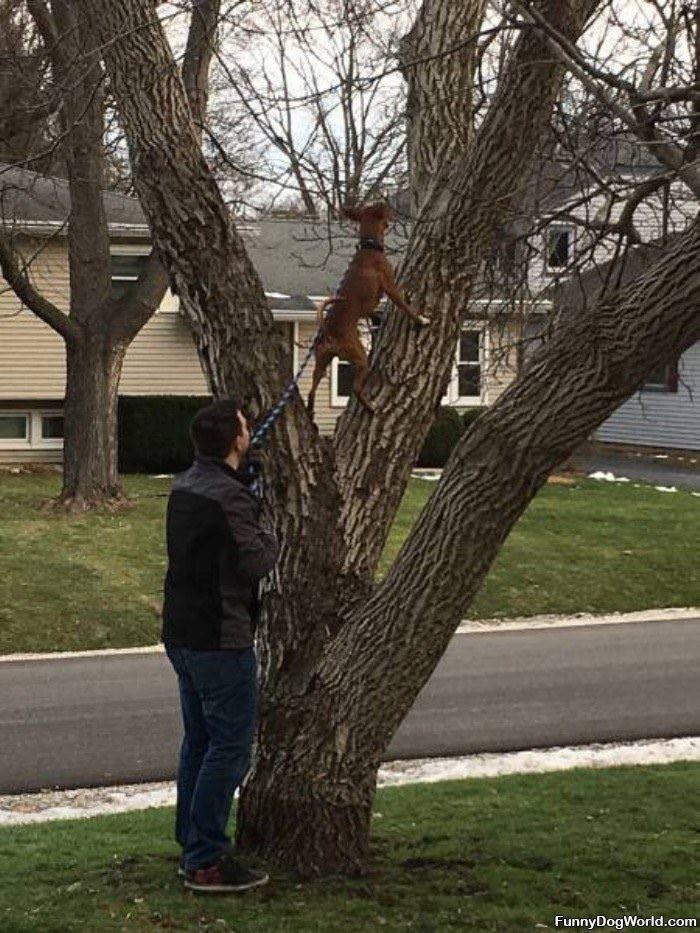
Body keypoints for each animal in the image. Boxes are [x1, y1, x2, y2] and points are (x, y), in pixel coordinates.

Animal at [308, 202, 430, 416]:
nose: (392, 212)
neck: (368, 246)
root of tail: (328, 330)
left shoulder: (370, 304)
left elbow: (373, 312)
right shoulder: (390, 287)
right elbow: (405, 306)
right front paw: (420, 320)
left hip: (321, 362)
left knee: (311, 391)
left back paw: (310, 413)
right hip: (359, 357)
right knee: (356, 388)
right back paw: (370, 407)